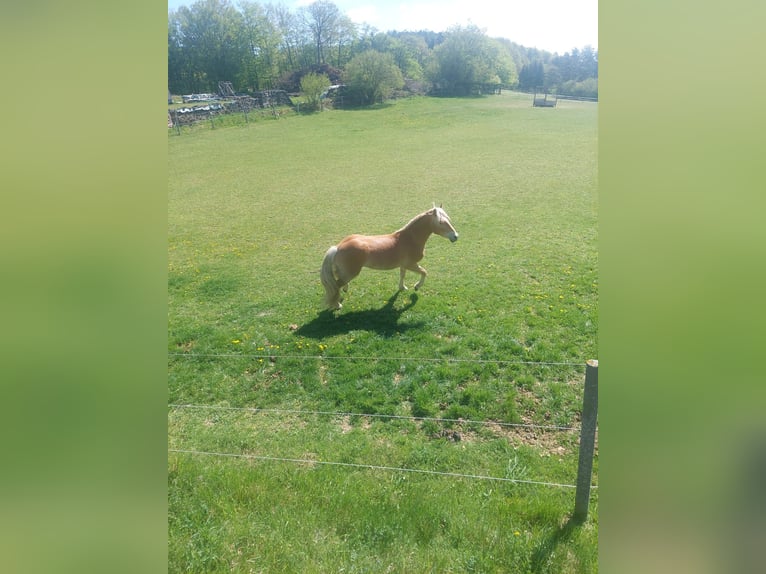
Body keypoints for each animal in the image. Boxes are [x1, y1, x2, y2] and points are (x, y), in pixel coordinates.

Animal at [320, 205, 459, 310]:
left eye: (448, 219)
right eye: (441, 222)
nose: (455, 236)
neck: (409, 239)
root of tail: (338, 247)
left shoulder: (404, 265)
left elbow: (402, 275)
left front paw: (402, 288)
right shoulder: (411, 264)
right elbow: (424, 272)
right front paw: (417, 287)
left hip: (345, 272)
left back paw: (344, 290)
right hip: (351, 273)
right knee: (335, 286)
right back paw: (337, 304)